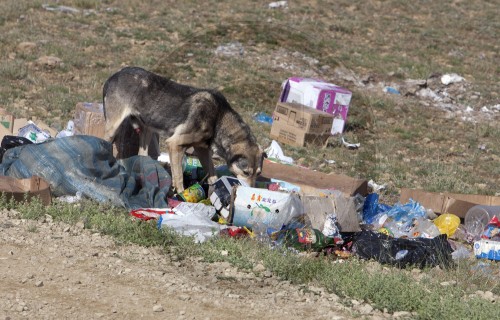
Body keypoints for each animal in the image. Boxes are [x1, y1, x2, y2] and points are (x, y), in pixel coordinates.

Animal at [103, 67, 264, 192]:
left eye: (258, 173)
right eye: (246, 172)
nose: (250, 191)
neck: (219, 118)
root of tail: (114, 75)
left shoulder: (202, 150)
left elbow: (212, 175)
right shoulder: (174, 144)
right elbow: (179, 177)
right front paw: (181, 195)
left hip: (147, 129)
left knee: (142, 154)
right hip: (112, 129)